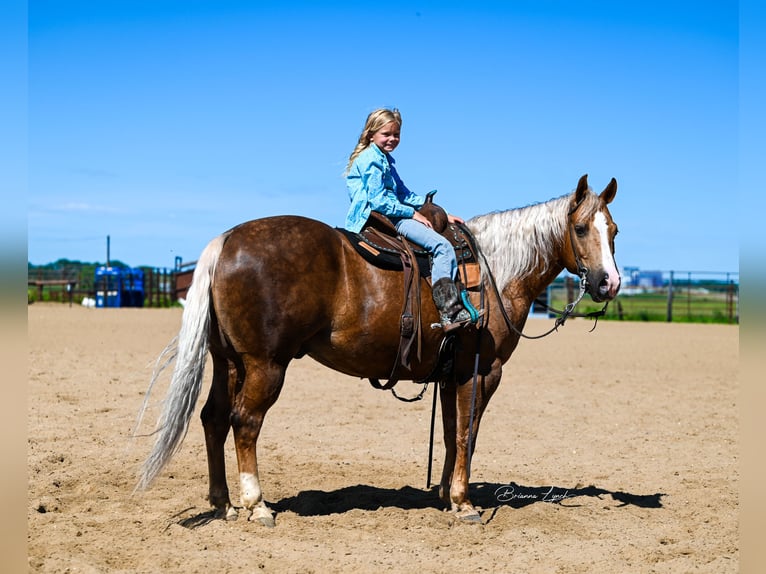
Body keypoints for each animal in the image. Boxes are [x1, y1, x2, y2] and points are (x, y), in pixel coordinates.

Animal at [135, 173, 620, 528]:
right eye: (580, 228)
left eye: (613, 230)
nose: (609, 283)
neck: (495, 272)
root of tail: (227, 241)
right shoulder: (481, 371)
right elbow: (468, 433)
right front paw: (463, 503)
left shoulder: (450, 373)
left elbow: (450, 434)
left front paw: (445, 495)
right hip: (264, 365)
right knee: (245, 422)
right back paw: (256, 505)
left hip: (229, 362)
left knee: (214, 419)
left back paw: (223, 503)